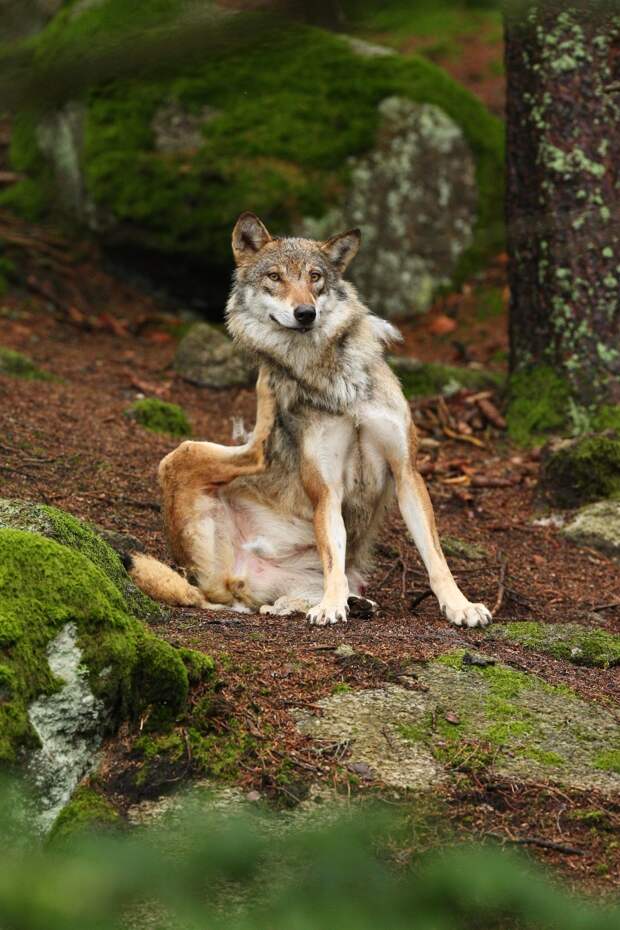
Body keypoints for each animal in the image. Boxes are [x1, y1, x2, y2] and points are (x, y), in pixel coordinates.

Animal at [128, 214, 492, 628]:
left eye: (315, 276)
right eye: (274, 277)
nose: (305, 313)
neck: (334, 379)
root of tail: (224, 580)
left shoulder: (407, 473)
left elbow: (435, 556)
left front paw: (460, 606)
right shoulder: (327, 489)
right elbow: (334, 552)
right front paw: (332, 607)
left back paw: (356, 603)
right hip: (181, 458)